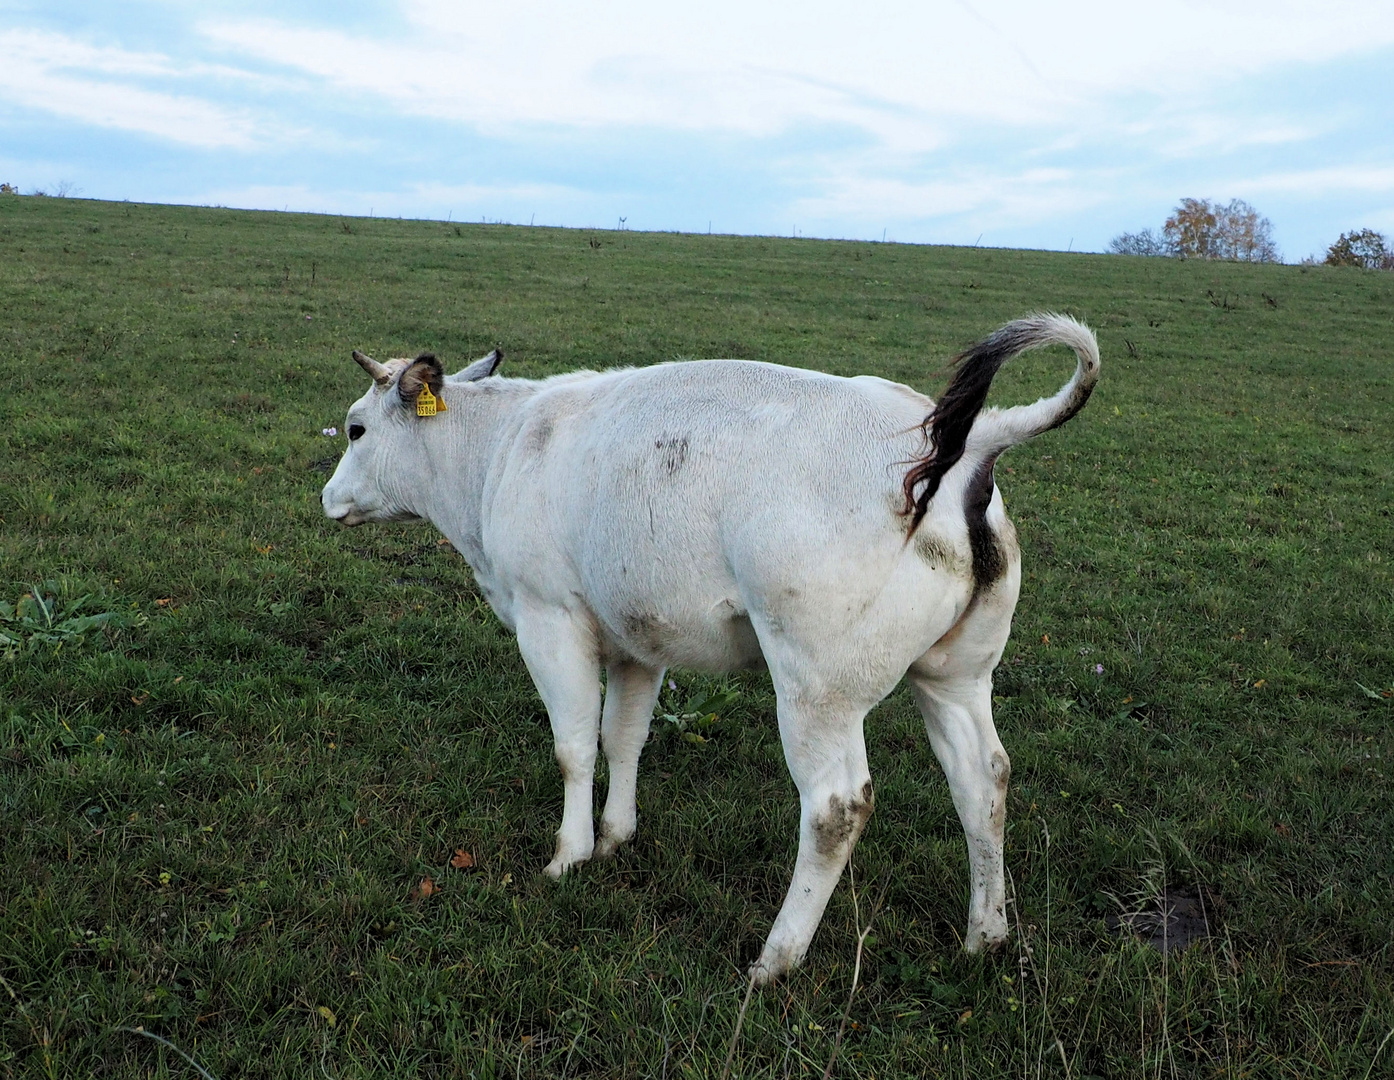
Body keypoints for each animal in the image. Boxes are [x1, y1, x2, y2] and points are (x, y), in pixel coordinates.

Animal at [323, 310, 1098, 981]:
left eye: (357, 428)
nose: (328, 498)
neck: (503, 446)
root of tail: (964, 445)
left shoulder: (551, 618)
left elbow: (574, 747)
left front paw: (568, 856)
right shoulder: (637, 638)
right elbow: (624, 737)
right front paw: (616, 836)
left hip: (818, 686)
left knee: (836, 807)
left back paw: (776, 959)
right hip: (956, 673)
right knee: (983, 778)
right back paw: (985, 934)